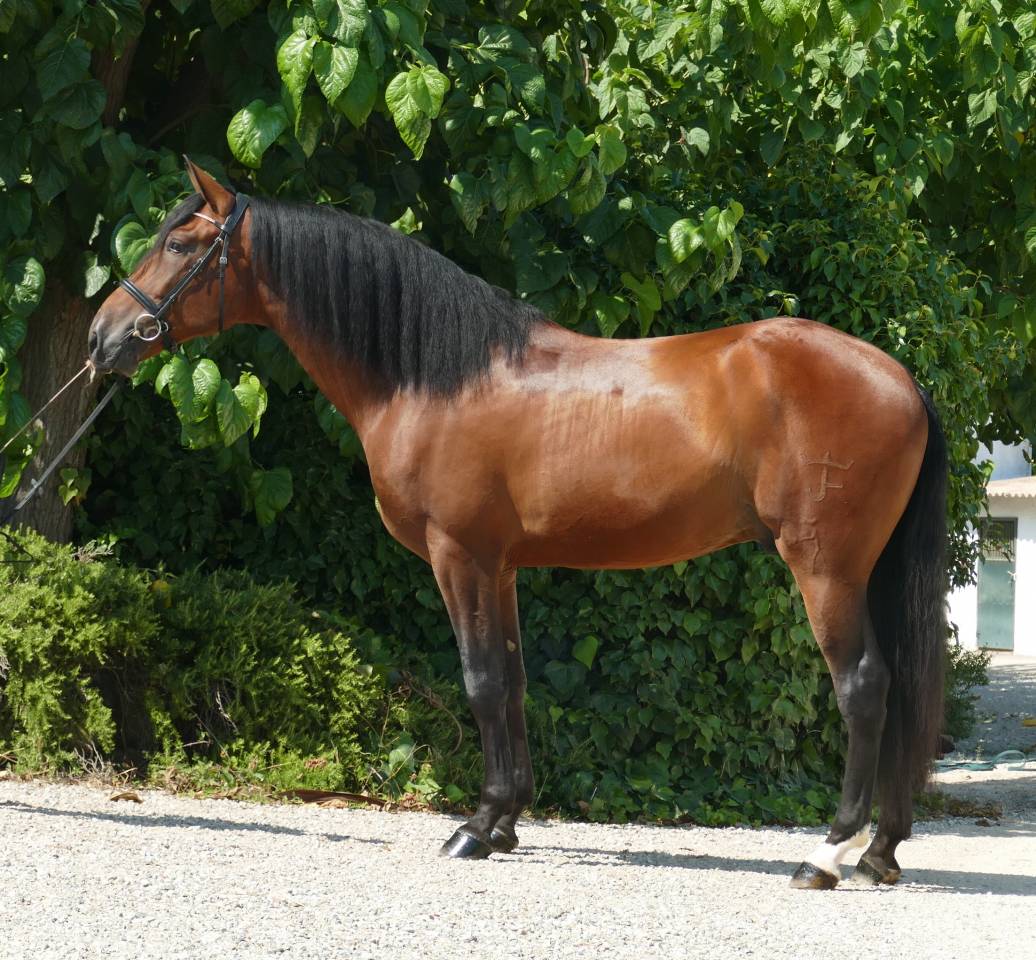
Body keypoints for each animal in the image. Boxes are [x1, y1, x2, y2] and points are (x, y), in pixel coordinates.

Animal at [88, 159, 947, 890]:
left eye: (181, 243)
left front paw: (474, 828)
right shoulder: (498, 566)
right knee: (900, 688)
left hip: (824, 568)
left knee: (862, 686)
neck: (436, 376)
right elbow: (513, 680)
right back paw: (881, 852)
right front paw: (504, 823)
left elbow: (481, 681)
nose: (103, 338)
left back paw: (826, 855)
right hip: (862, 570)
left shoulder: (459, 556)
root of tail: (899, 378)